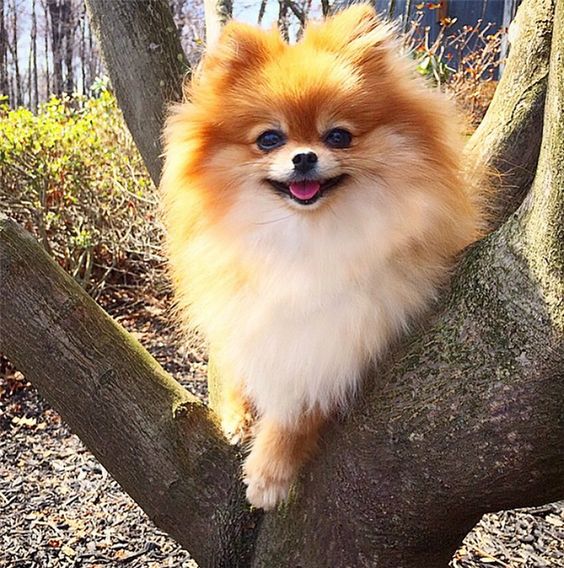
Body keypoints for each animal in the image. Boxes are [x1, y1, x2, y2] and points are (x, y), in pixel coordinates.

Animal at [161, 4, 482, 510]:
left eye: (338, 136)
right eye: (269, 139)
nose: (304, 157)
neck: (303, 237)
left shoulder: (343, 335)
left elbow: (300, 407)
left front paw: (268, 473)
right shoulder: (244, 304)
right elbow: (240, 356)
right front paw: (237, 413)